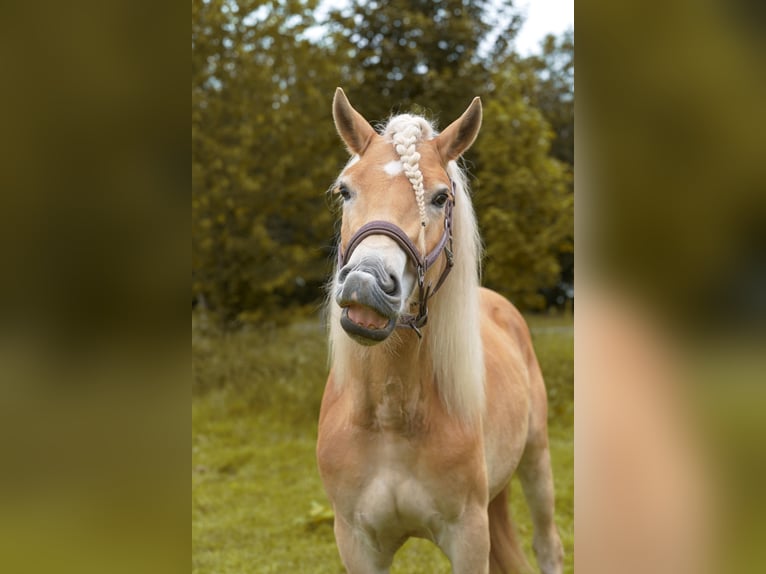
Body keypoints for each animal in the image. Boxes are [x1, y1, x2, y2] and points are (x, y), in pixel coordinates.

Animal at [318, 86, 564, 574]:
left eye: (439, 198)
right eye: (345, 190)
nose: (367, 285)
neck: (390, 419)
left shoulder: (468, 536)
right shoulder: (355, 542)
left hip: (537, 460)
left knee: (548, 545)